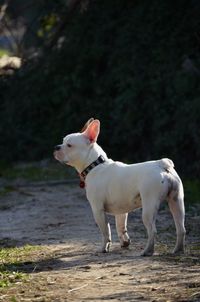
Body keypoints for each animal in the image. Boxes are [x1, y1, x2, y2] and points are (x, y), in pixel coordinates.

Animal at [53, 118, 186, 255]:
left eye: (69, 145)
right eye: (63, 141)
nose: (56, 147)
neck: (95, 165)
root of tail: (162, 164)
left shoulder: (97, 209)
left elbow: (106, 231)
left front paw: (104, 248)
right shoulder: (121, 211)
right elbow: (120, 226)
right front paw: (125, 243)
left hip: (149, 206)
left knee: (152, 230)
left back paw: (147, 251)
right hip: (177, 201)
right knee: (181, 229)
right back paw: (178, 250)